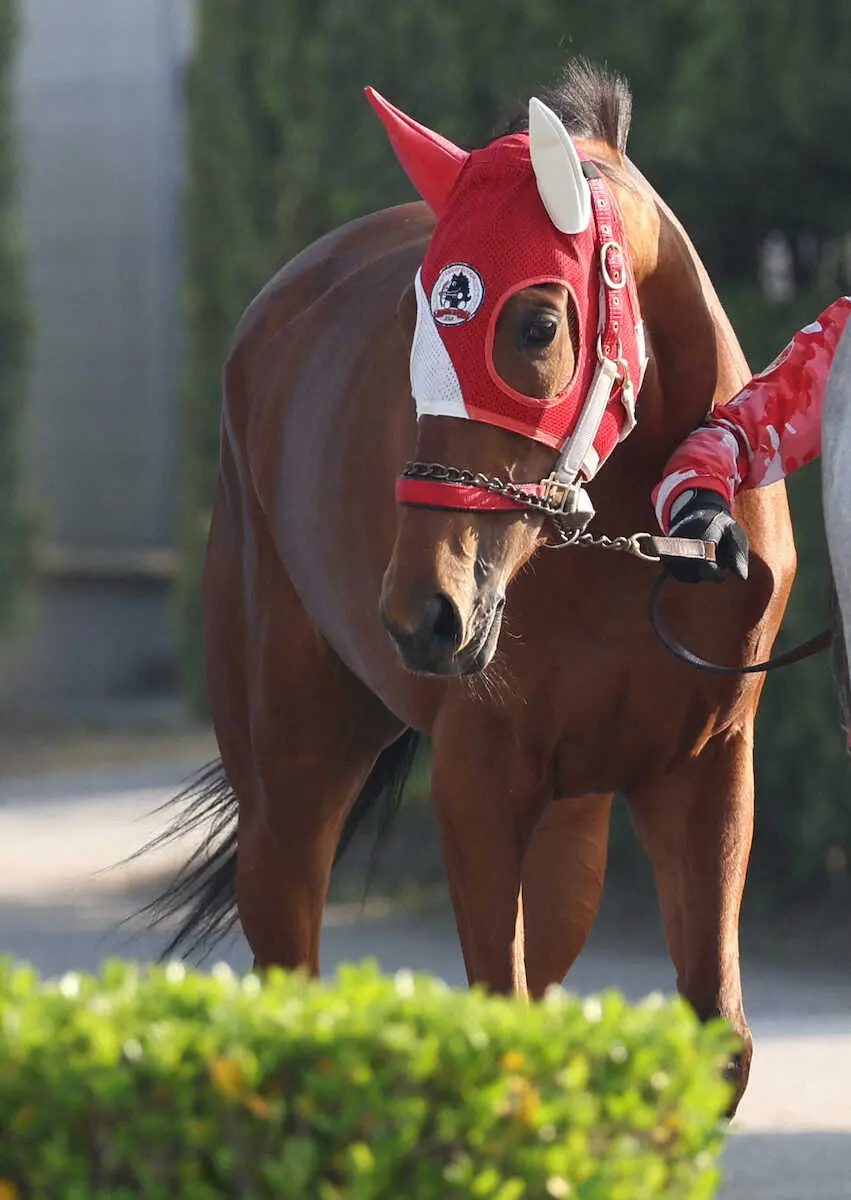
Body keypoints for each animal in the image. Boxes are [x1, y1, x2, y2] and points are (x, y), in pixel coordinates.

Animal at [157, 60, 796, 1108]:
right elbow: (500, 1030)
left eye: (535, 322)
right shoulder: (479, 777)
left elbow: (718, 1040)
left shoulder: (703, 767)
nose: (423, 613)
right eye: (412, 327)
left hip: (572, 821)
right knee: (289, 959)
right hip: (289, 766)